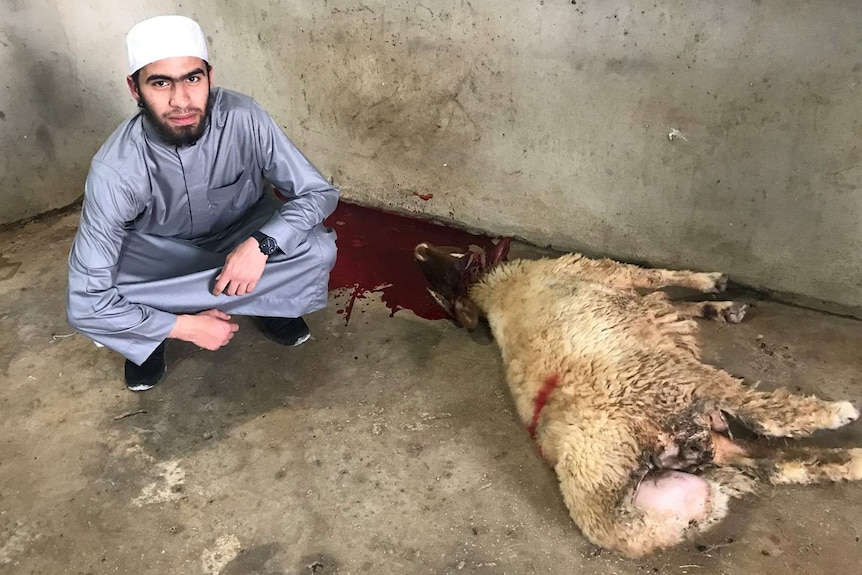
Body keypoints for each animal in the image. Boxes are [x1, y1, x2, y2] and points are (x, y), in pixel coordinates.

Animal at [416, 241, 860, 560]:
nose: (420, 249)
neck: (490, 288)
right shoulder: (605, 271)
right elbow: (660, 277)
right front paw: (712, 284)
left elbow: (669, 303)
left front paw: (718, 307)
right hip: (678, 384)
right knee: (768, 415)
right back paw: (838, 413)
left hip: (707, 443)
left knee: (788, 462)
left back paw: (852, 460)